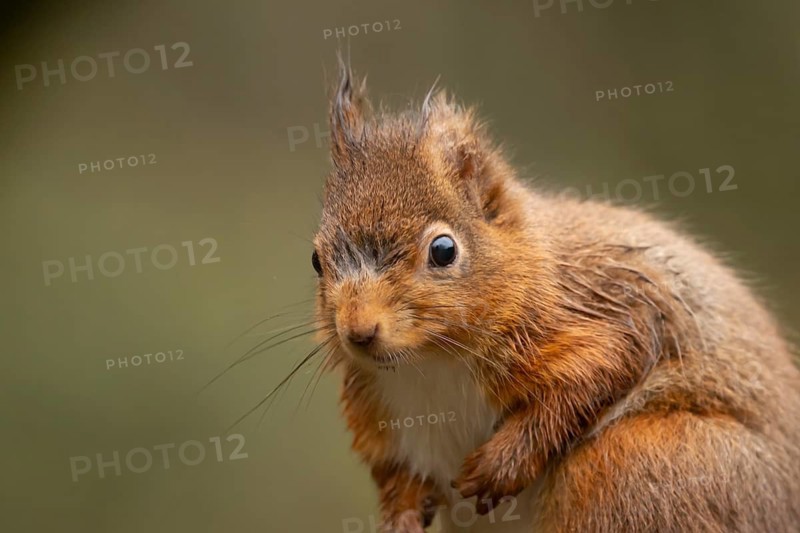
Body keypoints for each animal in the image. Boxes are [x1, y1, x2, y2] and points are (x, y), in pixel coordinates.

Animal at [309, 59, 800, 532]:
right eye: (315, 259)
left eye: (444, 250)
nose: (359, 331)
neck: (430, 363)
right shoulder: (381, 418)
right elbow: (397, 476)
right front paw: (401, 516)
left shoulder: (604, 309)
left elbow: (592, 376)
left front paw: (499, 466)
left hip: (640, 463)